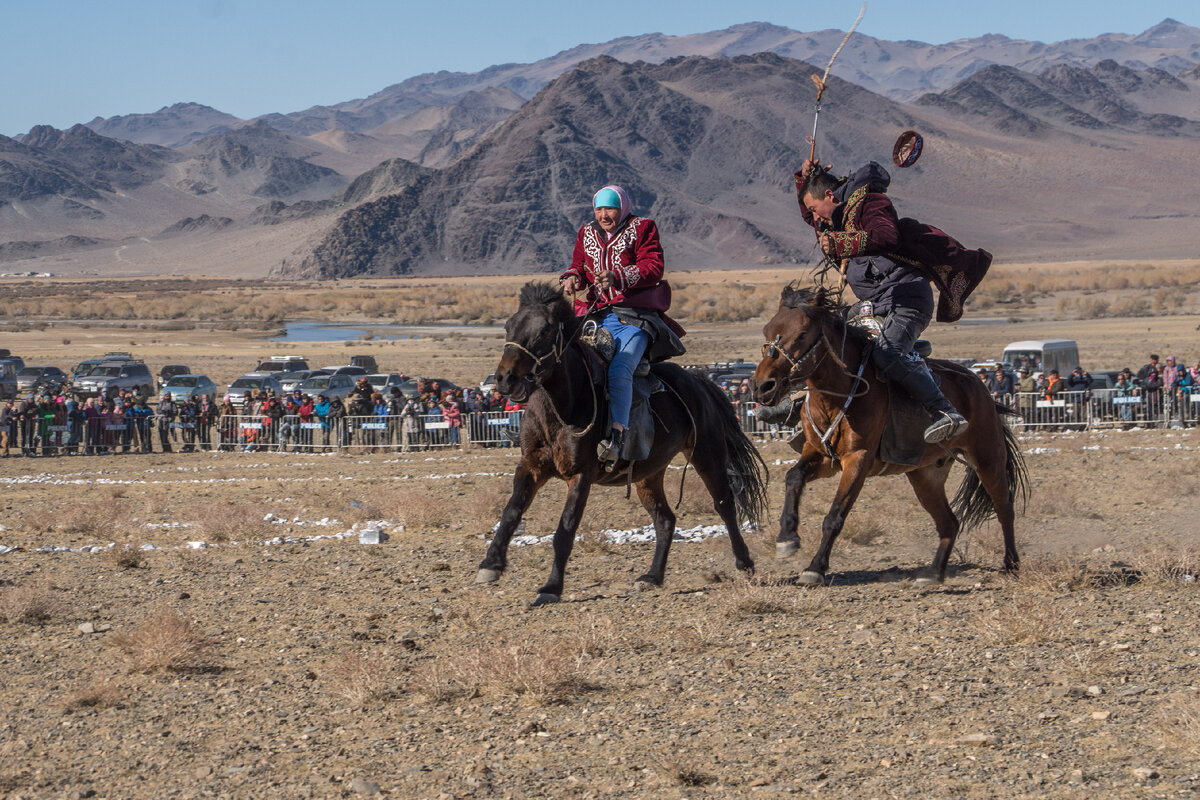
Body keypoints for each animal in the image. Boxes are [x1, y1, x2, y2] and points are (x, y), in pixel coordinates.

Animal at [472, 284, 763, 604]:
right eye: (508, 326)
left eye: (544, 331)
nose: (505, 379)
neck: (562, 406)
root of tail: (699, 380)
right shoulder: (531, 466)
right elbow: (511, 512)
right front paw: (490, 564)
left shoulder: (580, 475)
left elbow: (565, 529)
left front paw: (551, 587)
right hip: (648, 474)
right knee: (665, 519)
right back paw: (652, 577)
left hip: (707, 455)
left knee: (724, 505)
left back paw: (745, 564)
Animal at [753, 284, 1027, 585]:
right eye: (767, 330)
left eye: (802, 333)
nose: (763, 386)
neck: (839, 393)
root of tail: (978, 384)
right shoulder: (821, 456)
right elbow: (793, 477)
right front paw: (787, 537)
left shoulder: (857, 460)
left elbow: (834, 516)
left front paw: (815, 567)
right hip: (925, 476)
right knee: (949, 523)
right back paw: (933, 573)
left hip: (988, 459)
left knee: (1004, 507)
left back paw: (1010, 564)